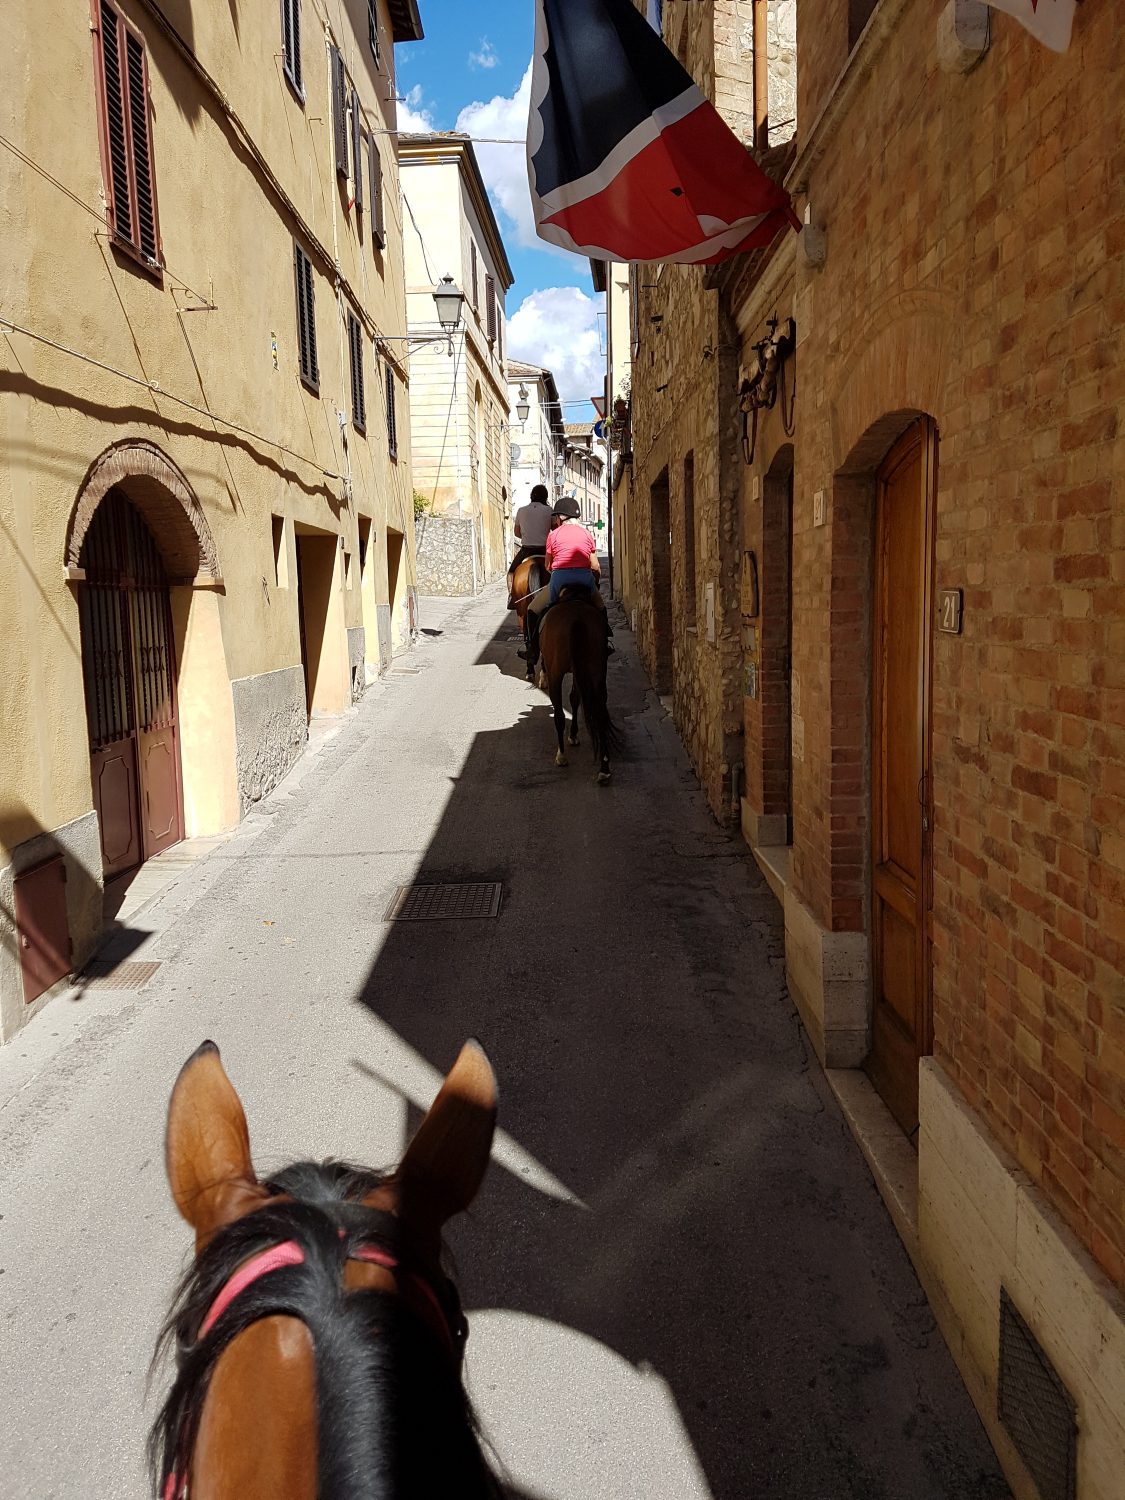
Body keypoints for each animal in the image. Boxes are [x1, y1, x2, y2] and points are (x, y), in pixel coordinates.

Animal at [538, 594, 619, 784]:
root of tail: (577, 620)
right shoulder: (578, 670)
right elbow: (575, 699)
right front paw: (574, 734)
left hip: (556, 672)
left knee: (559, 715)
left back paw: (561, 756)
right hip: (597, 669)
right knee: (599, 712)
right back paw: (604, 767)